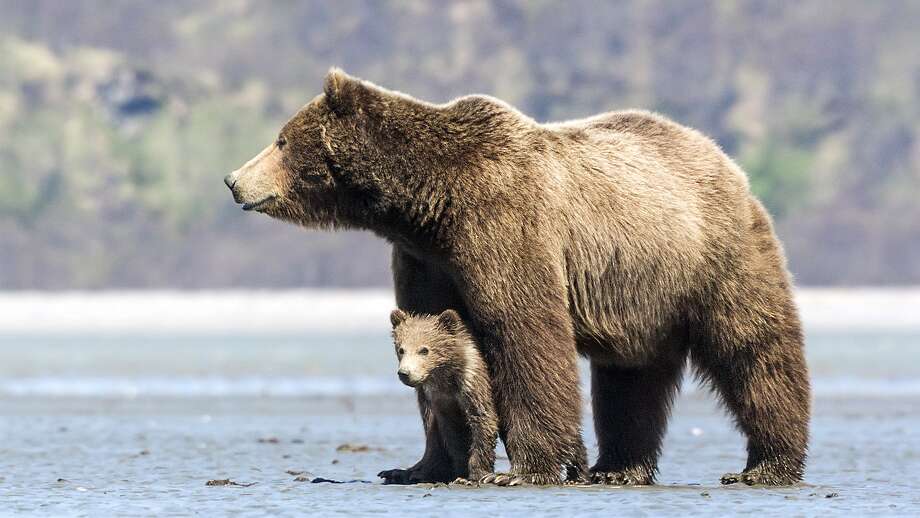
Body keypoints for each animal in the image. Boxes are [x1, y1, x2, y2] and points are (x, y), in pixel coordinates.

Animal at [378, 308, 498, 485]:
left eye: (424, 350)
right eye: (401, 349)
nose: (405, 373)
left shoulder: (472, 383)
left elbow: (483, 420)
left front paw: (474, 475)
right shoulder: (440, 400)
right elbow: (453, 435)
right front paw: (460, 470)